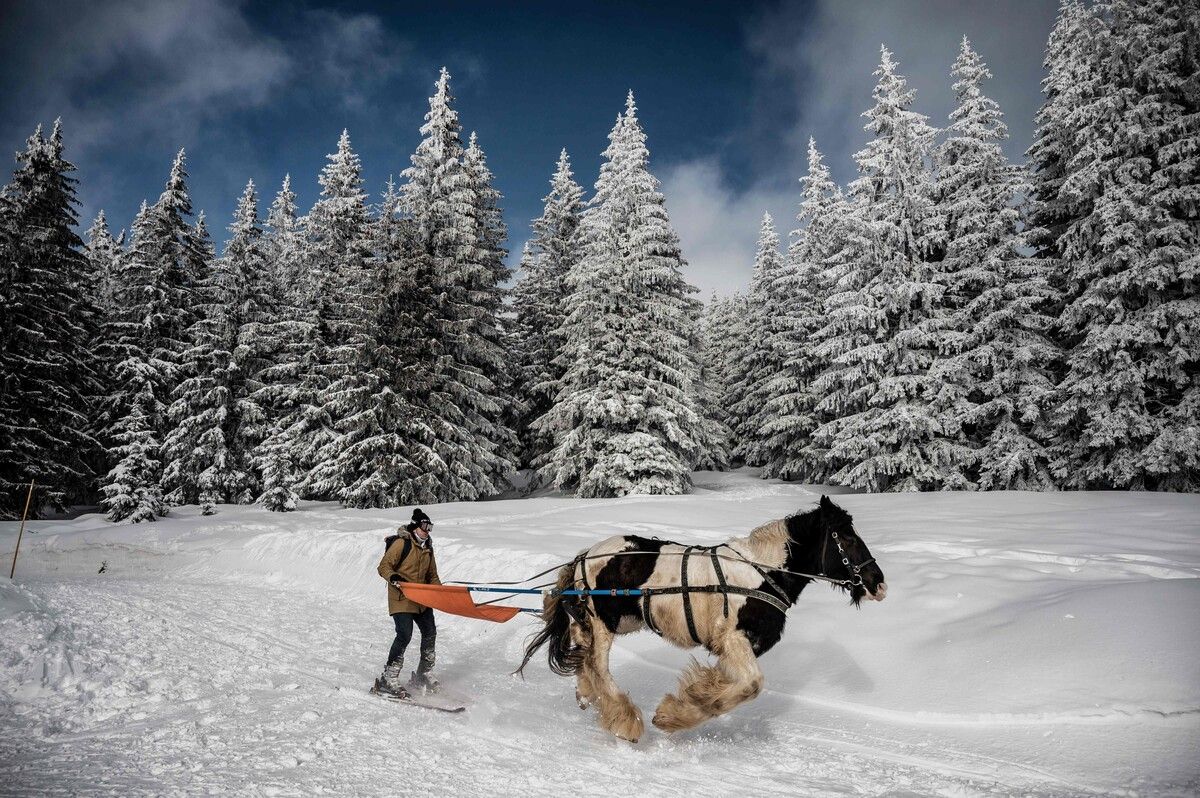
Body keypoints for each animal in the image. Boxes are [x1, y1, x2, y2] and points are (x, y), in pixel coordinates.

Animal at [520, 494, 888, 744]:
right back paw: (624, 720)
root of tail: (587, 554)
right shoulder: (734, 638)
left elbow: (730, 685)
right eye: (848, 537)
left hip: (606, 621)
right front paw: (673, 715)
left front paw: (694, 697)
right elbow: (751, 685)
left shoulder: (736, 647)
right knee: (597, 666)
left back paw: (588, 696)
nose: (878, 583)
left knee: (583, 657)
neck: (762, 572)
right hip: (603, 623)